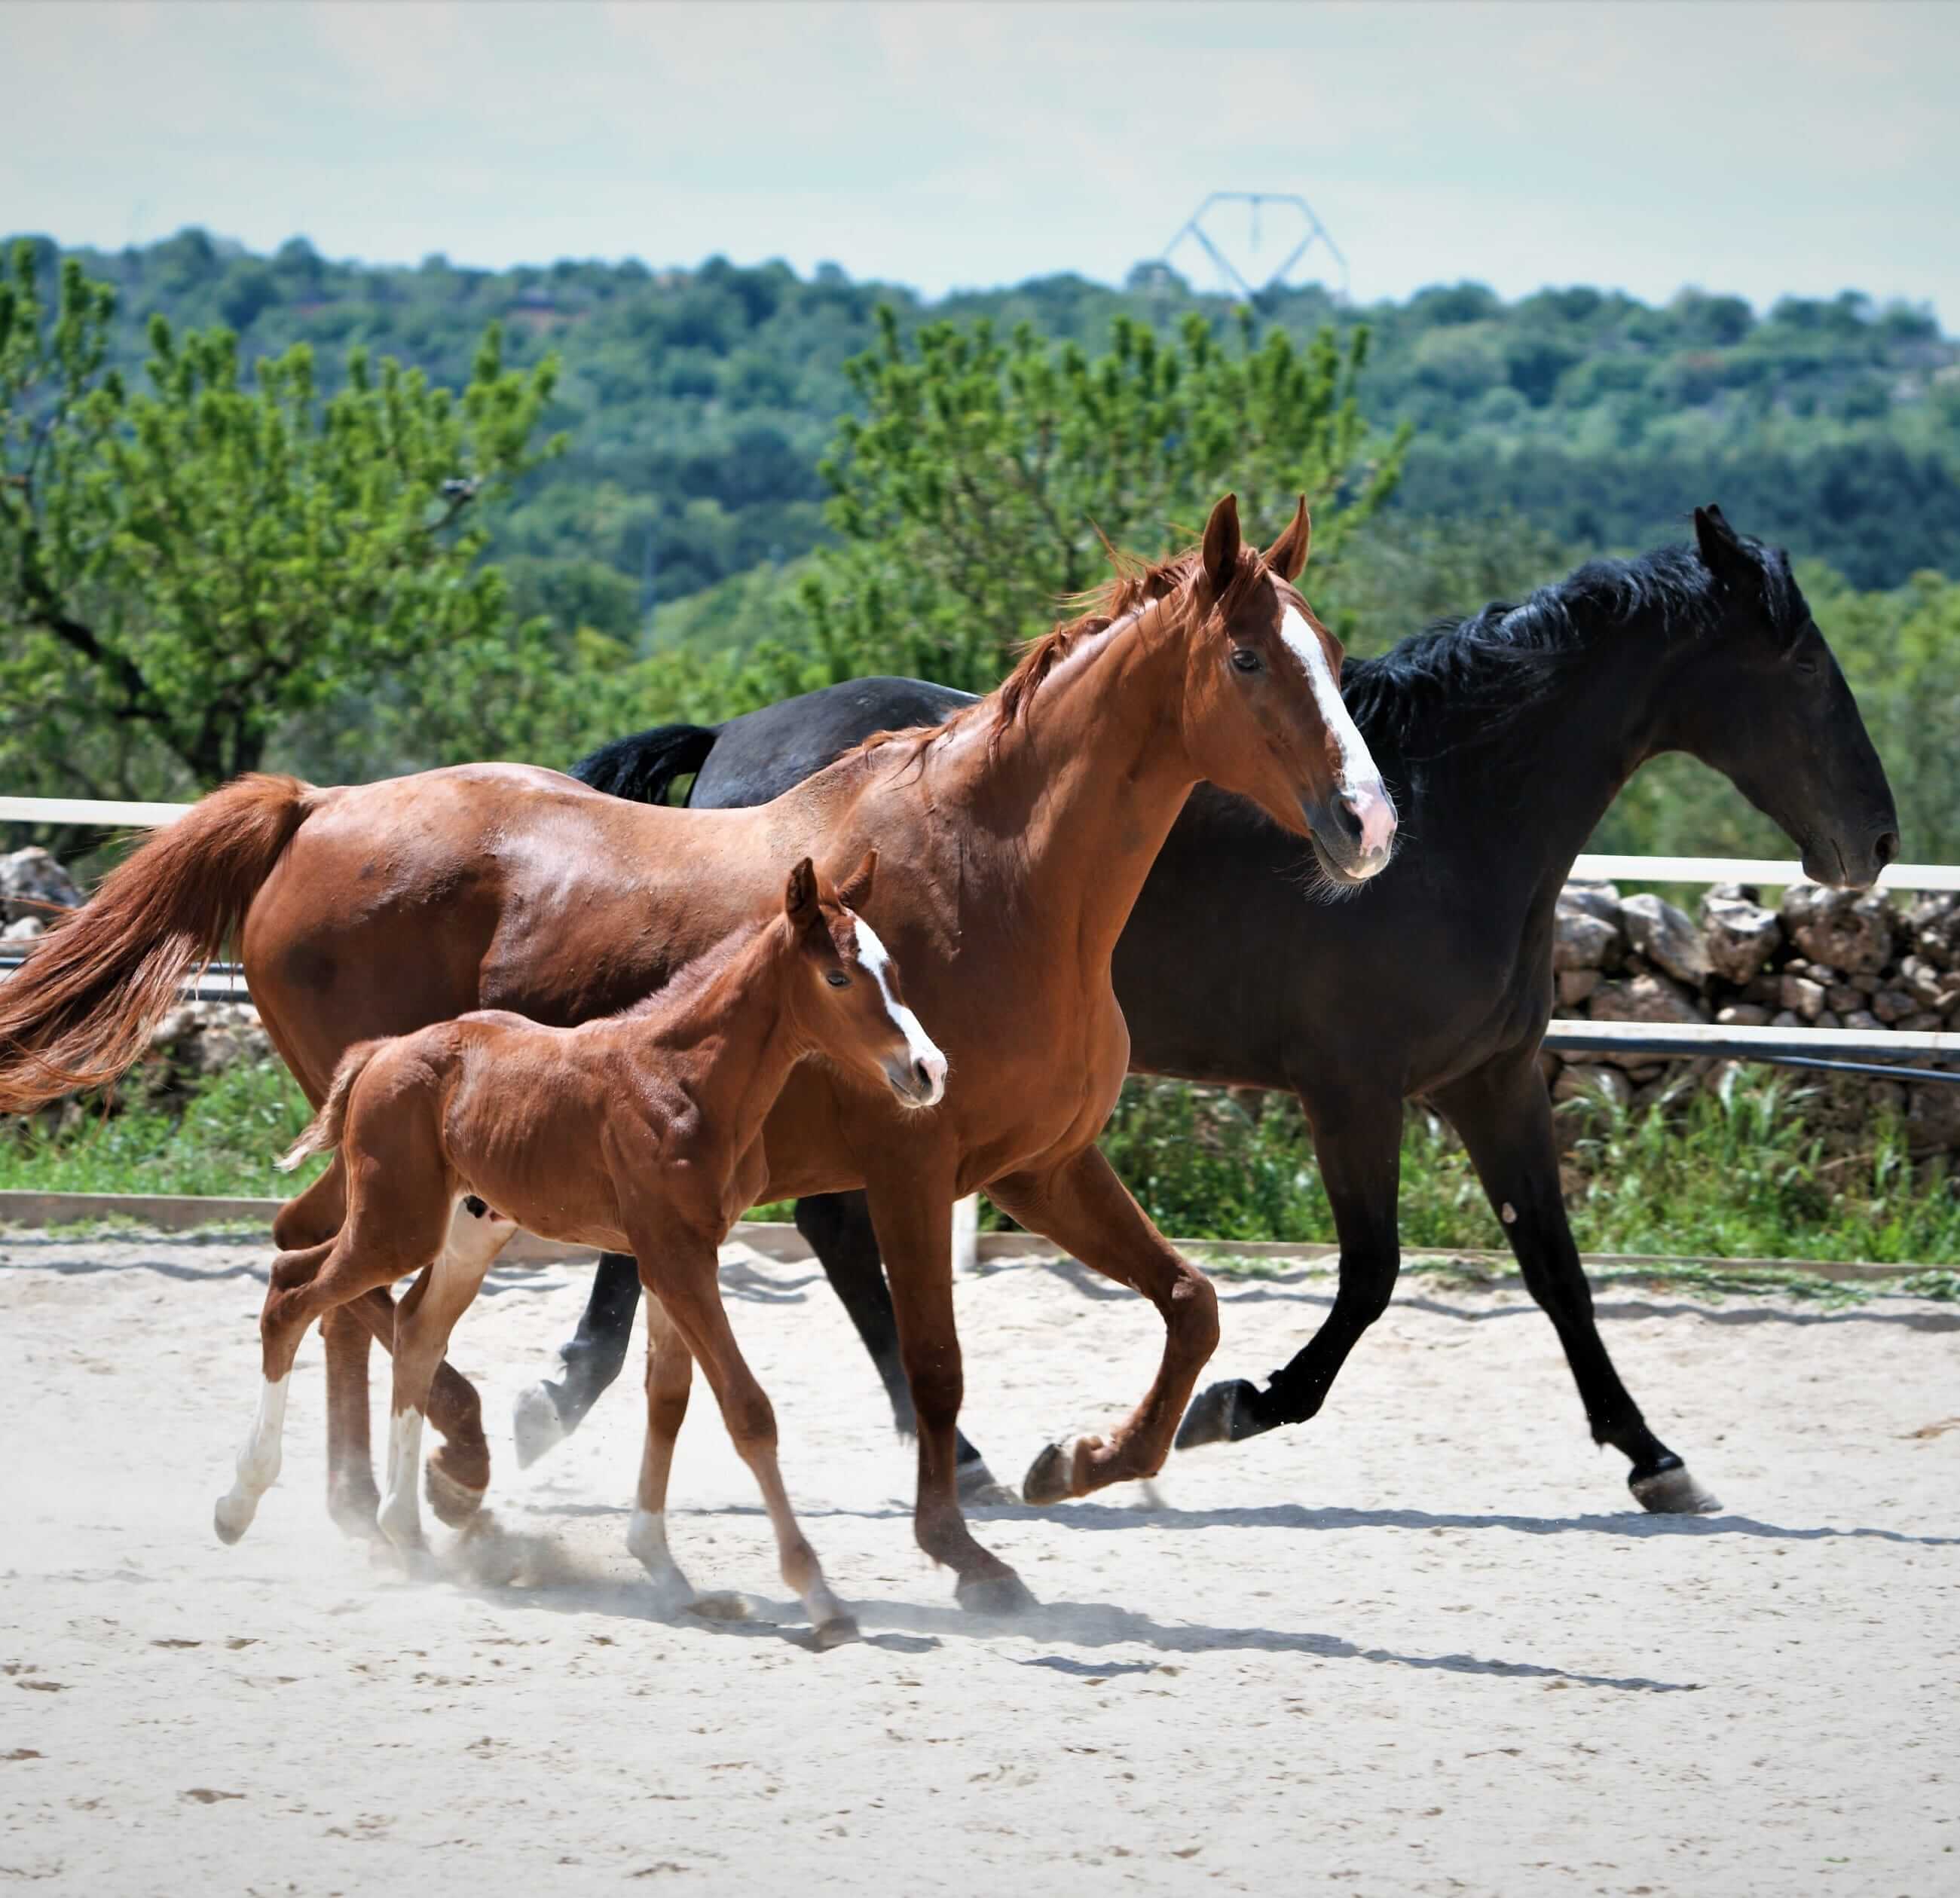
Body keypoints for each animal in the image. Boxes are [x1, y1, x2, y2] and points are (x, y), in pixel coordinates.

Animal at [214, 858, 940, 1646]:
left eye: (893, 969)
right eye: (838, 976)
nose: (929, 1069)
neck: (686, 1079)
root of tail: (383, 1051)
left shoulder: (682, 1256)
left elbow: (669, 1400)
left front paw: (668, 1574)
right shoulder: (675, 1258)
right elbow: (746, 1410)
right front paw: (818, 1593)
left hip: (466, 1231)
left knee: (415, 1330)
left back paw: (406, 1534)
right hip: (394, 1224)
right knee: (291, 1289)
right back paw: (240, 1502)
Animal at [521, 506, 1897, 1513]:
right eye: (1799, 659)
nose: (1874, 840)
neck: (1460, 821)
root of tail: (731, 746)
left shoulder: (1490, 1077)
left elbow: (1556, 1269)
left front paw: (1653, 1454)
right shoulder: (1353, 1090)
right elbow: (1371, 1278)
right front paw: (1222, 1409)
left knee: (800, 1217)